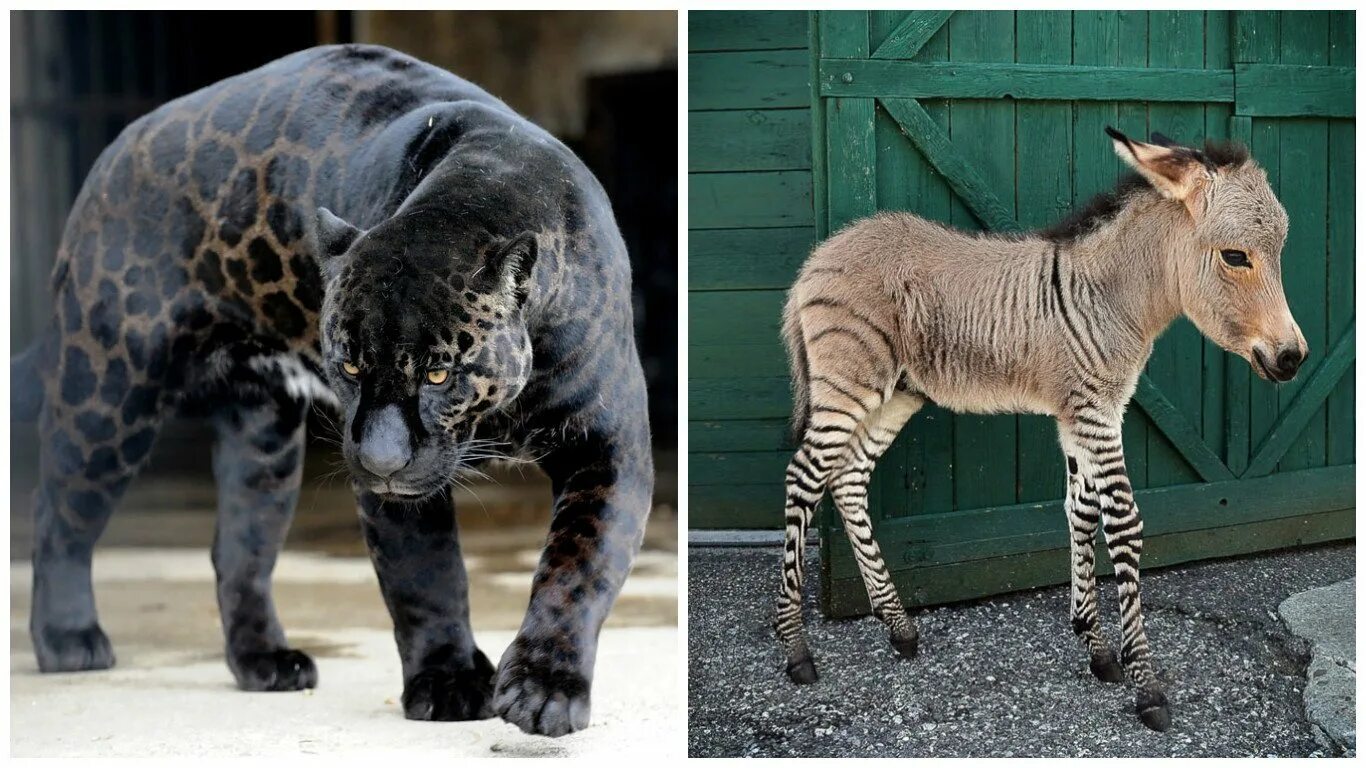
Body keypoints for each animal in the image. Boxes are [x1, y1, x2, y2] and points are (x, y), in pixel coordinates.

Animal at [781, 127, 1300, 727]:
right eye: (1235, 257)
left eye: (1279, 254)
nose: (1295, 359)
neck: (1112, 299)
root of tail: (820, 255)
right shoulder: (1094, 411)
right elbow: (1123, 522)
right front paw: (1146, 686)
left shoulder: (1086, 413)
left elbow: (1081, 511)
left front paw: (1095, 647)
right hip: (850, 382)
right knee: (804, 479)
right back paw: (796, 652)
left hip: (896, 392)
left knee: (846, 479)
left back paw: (900, 629)